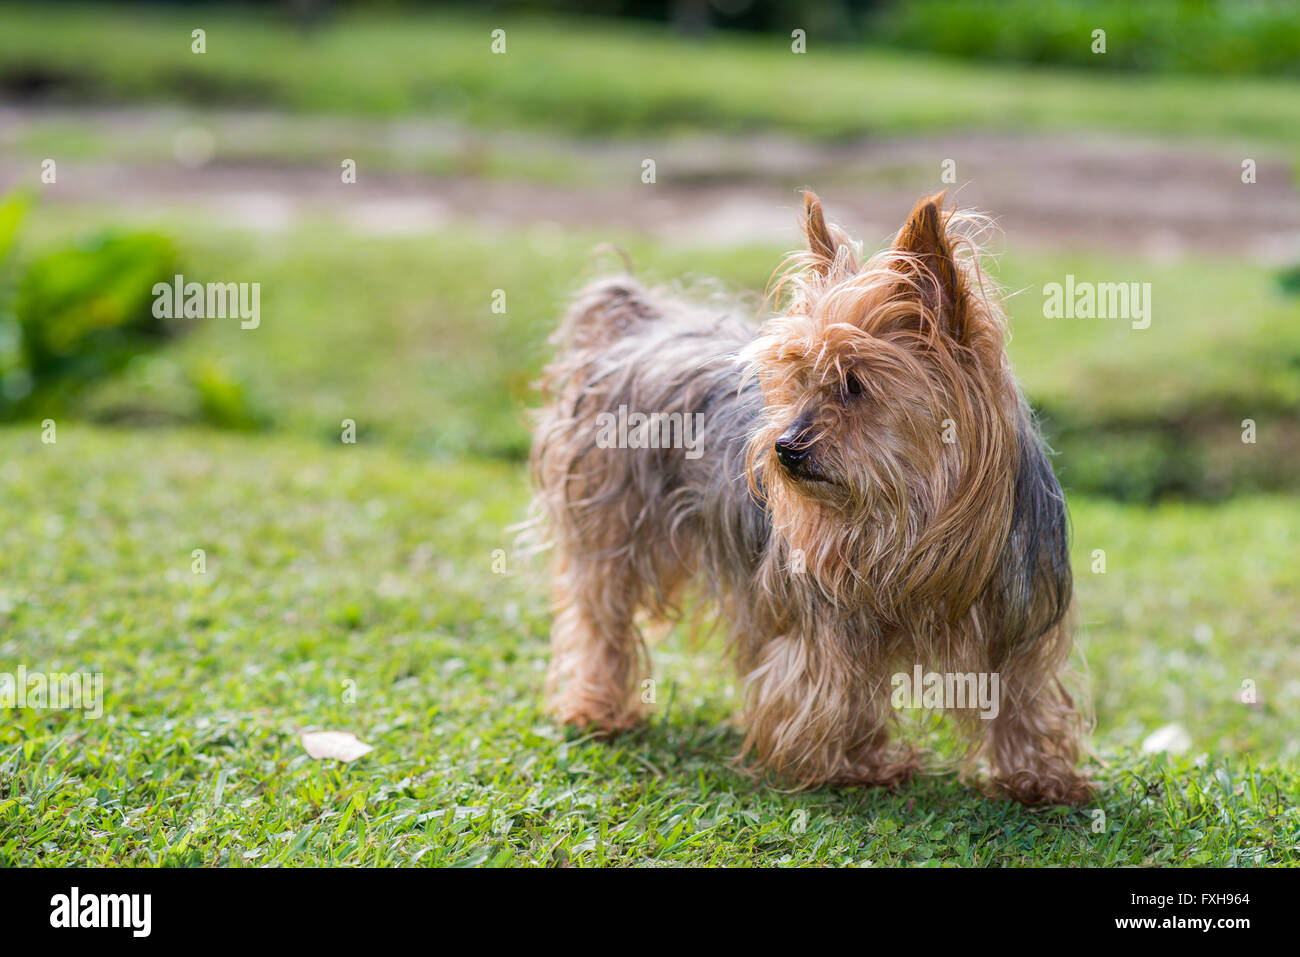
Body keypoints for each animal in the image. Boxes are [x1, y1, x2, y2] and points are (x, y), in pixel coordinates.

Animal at [527, 191, 1086, 806]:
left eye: (854, 383)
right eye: (797, 379)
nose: (784, 448)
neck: (908, 518)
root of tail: (632, 320)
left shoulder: (1018, 609)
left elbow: (1021, 690)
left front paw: (1038, 775)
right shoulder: (826, 617)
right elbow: (834, 683)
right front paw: (854, 763)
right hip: (606, 519)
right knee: (599, 616)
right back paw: (594, 708)